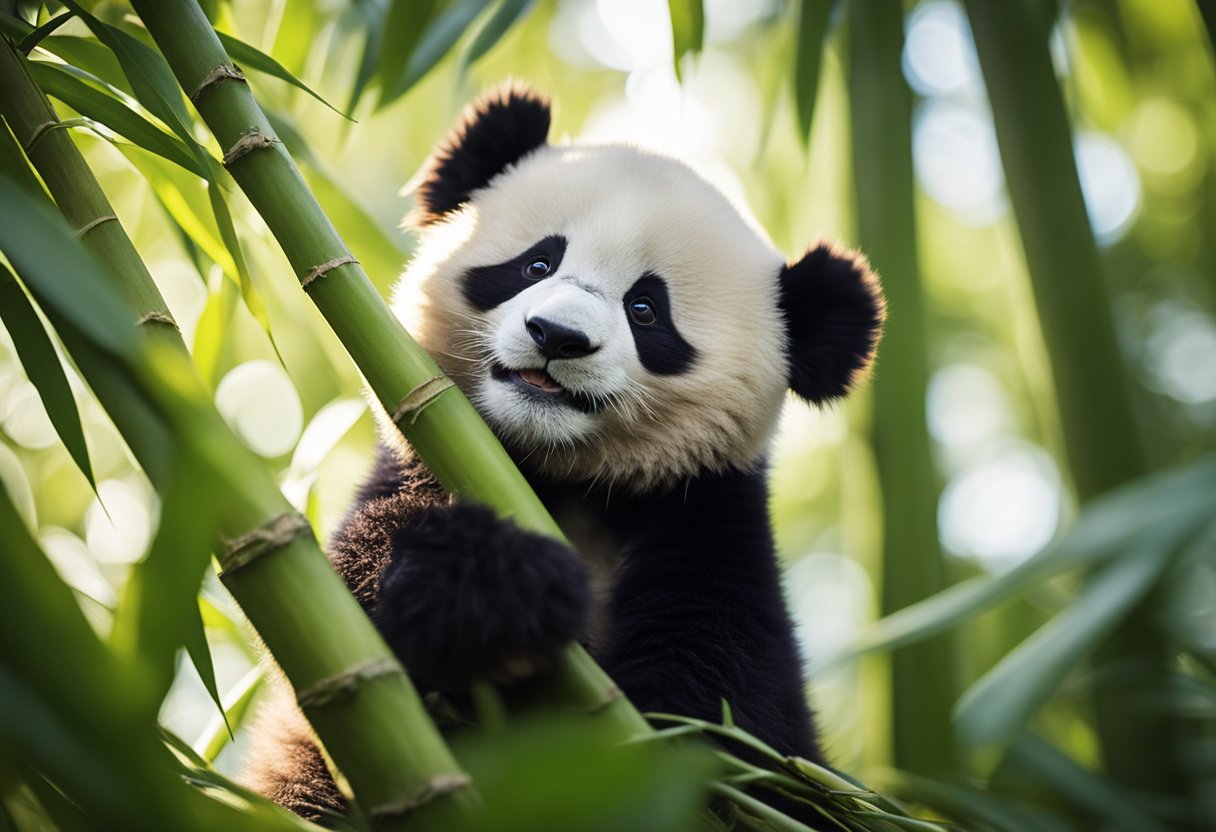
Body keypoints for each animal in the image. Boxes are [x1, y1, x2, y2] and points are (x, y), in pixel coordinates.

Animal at [244, 82, 885, 827]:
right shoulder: (424, 465)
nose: (556, 335)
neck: (571, 478)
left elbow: (720, 727)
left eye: (646, 309)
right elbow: (346, 620)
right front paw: (487, 584)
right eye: (537, 264)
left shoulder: (708, 525)